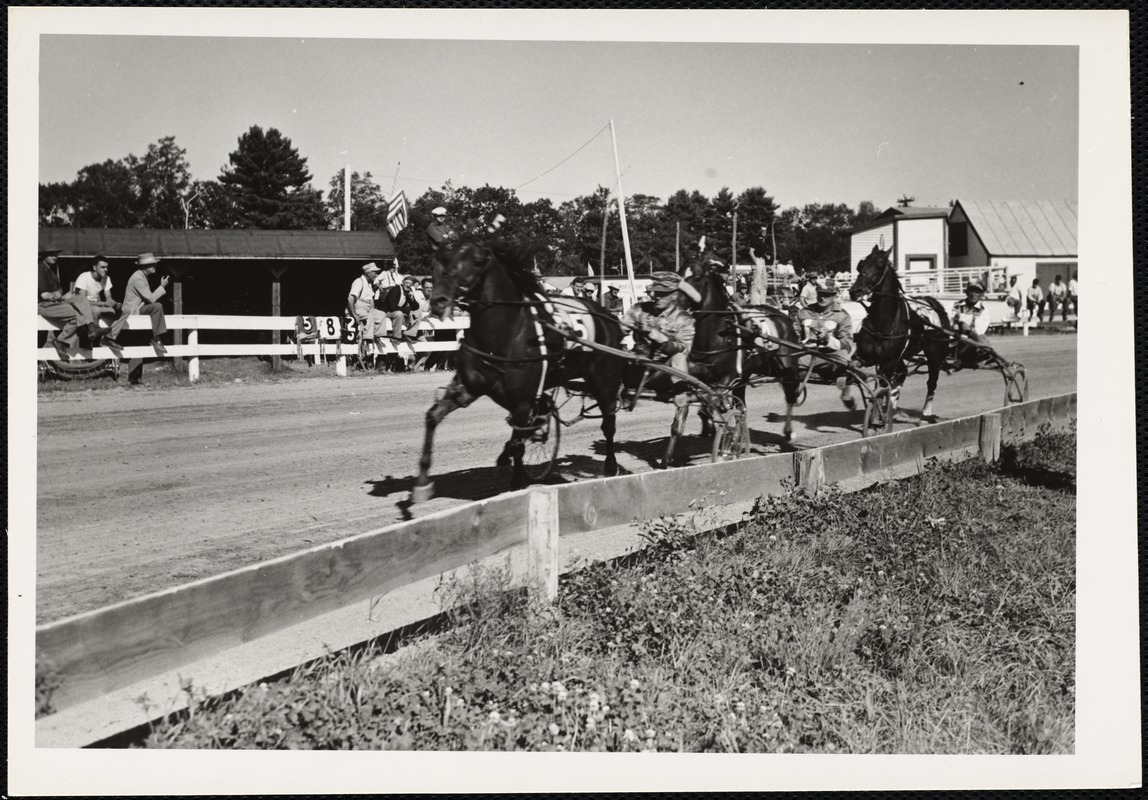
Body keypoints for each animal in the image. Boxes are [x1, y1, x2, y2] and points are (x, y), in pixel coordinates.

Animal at [413, 237, 624, 500]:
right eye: (442, 261)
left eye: (477, 262)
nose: (438, 301)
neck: (504, 333)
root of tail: (609, 316)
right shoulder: (468, 387)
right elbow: (432, 416)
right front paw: (422, 482)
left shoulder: (523, 401)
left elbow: (517, 444)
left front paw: (515, 487)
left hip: (604, 381)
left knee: (608, 424)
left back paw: (611, 466)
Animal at [854, 242, 950, 417]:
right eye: (861, 264)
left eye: (880, 265)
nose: (855, 291)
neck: (883, 323)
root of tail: (936, 304)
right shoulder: (866, 357)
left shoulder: (890, 362)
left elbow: (882, 387)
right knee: (902, 374)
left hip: (935, 355)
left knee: (931, 382)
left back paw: (925, 414)